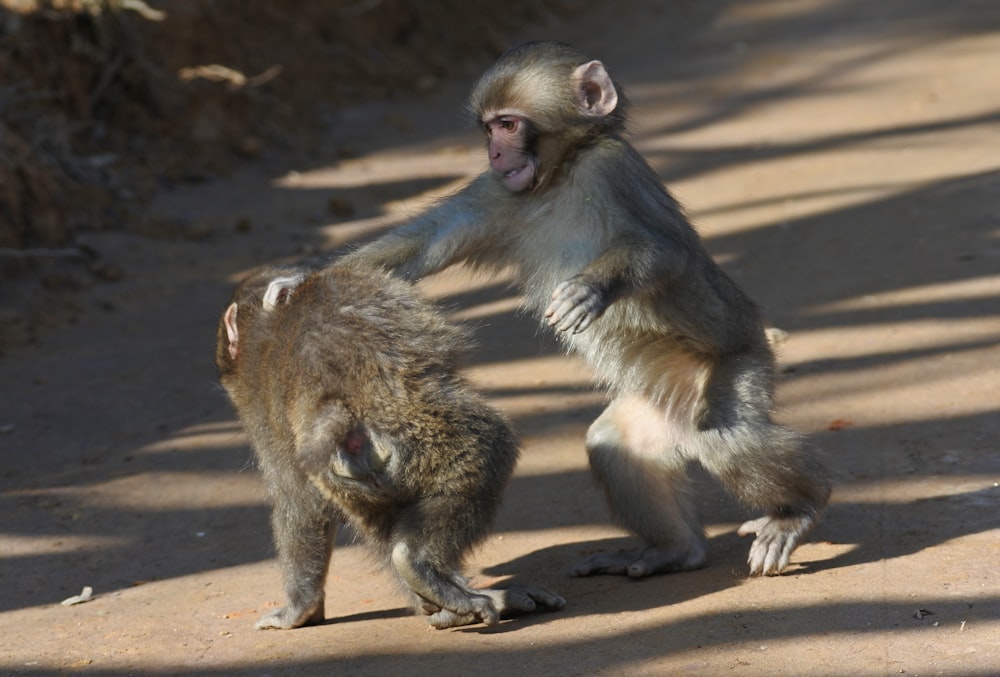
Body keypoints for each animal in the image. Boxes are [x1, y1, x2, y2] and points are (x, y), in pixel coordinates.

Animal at [216, 262, 568, 628]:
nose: (302, 276)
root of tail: (334, 417)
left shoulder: (256, 405)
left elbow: (299, 500)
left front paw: (301, 606)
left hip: (362, 480)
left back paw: (444, 600)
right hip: (421, 438)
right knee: (491, 446)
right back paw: (421, 565)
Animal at [340, 42, 832, 580]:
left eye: (508, 124)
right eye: (488, 129)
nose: (494, 153)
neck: (561, 175)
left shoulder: (612, 171)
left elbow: (666, 251)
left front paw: (592, 288)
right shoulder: (499, 192)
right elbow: (428, 242)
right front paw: (302, 283)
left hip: (743, 361)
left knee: (724, 436)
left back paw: (798, 509)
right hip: (655, 407)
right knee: (614, 446)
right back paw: (673, 550)